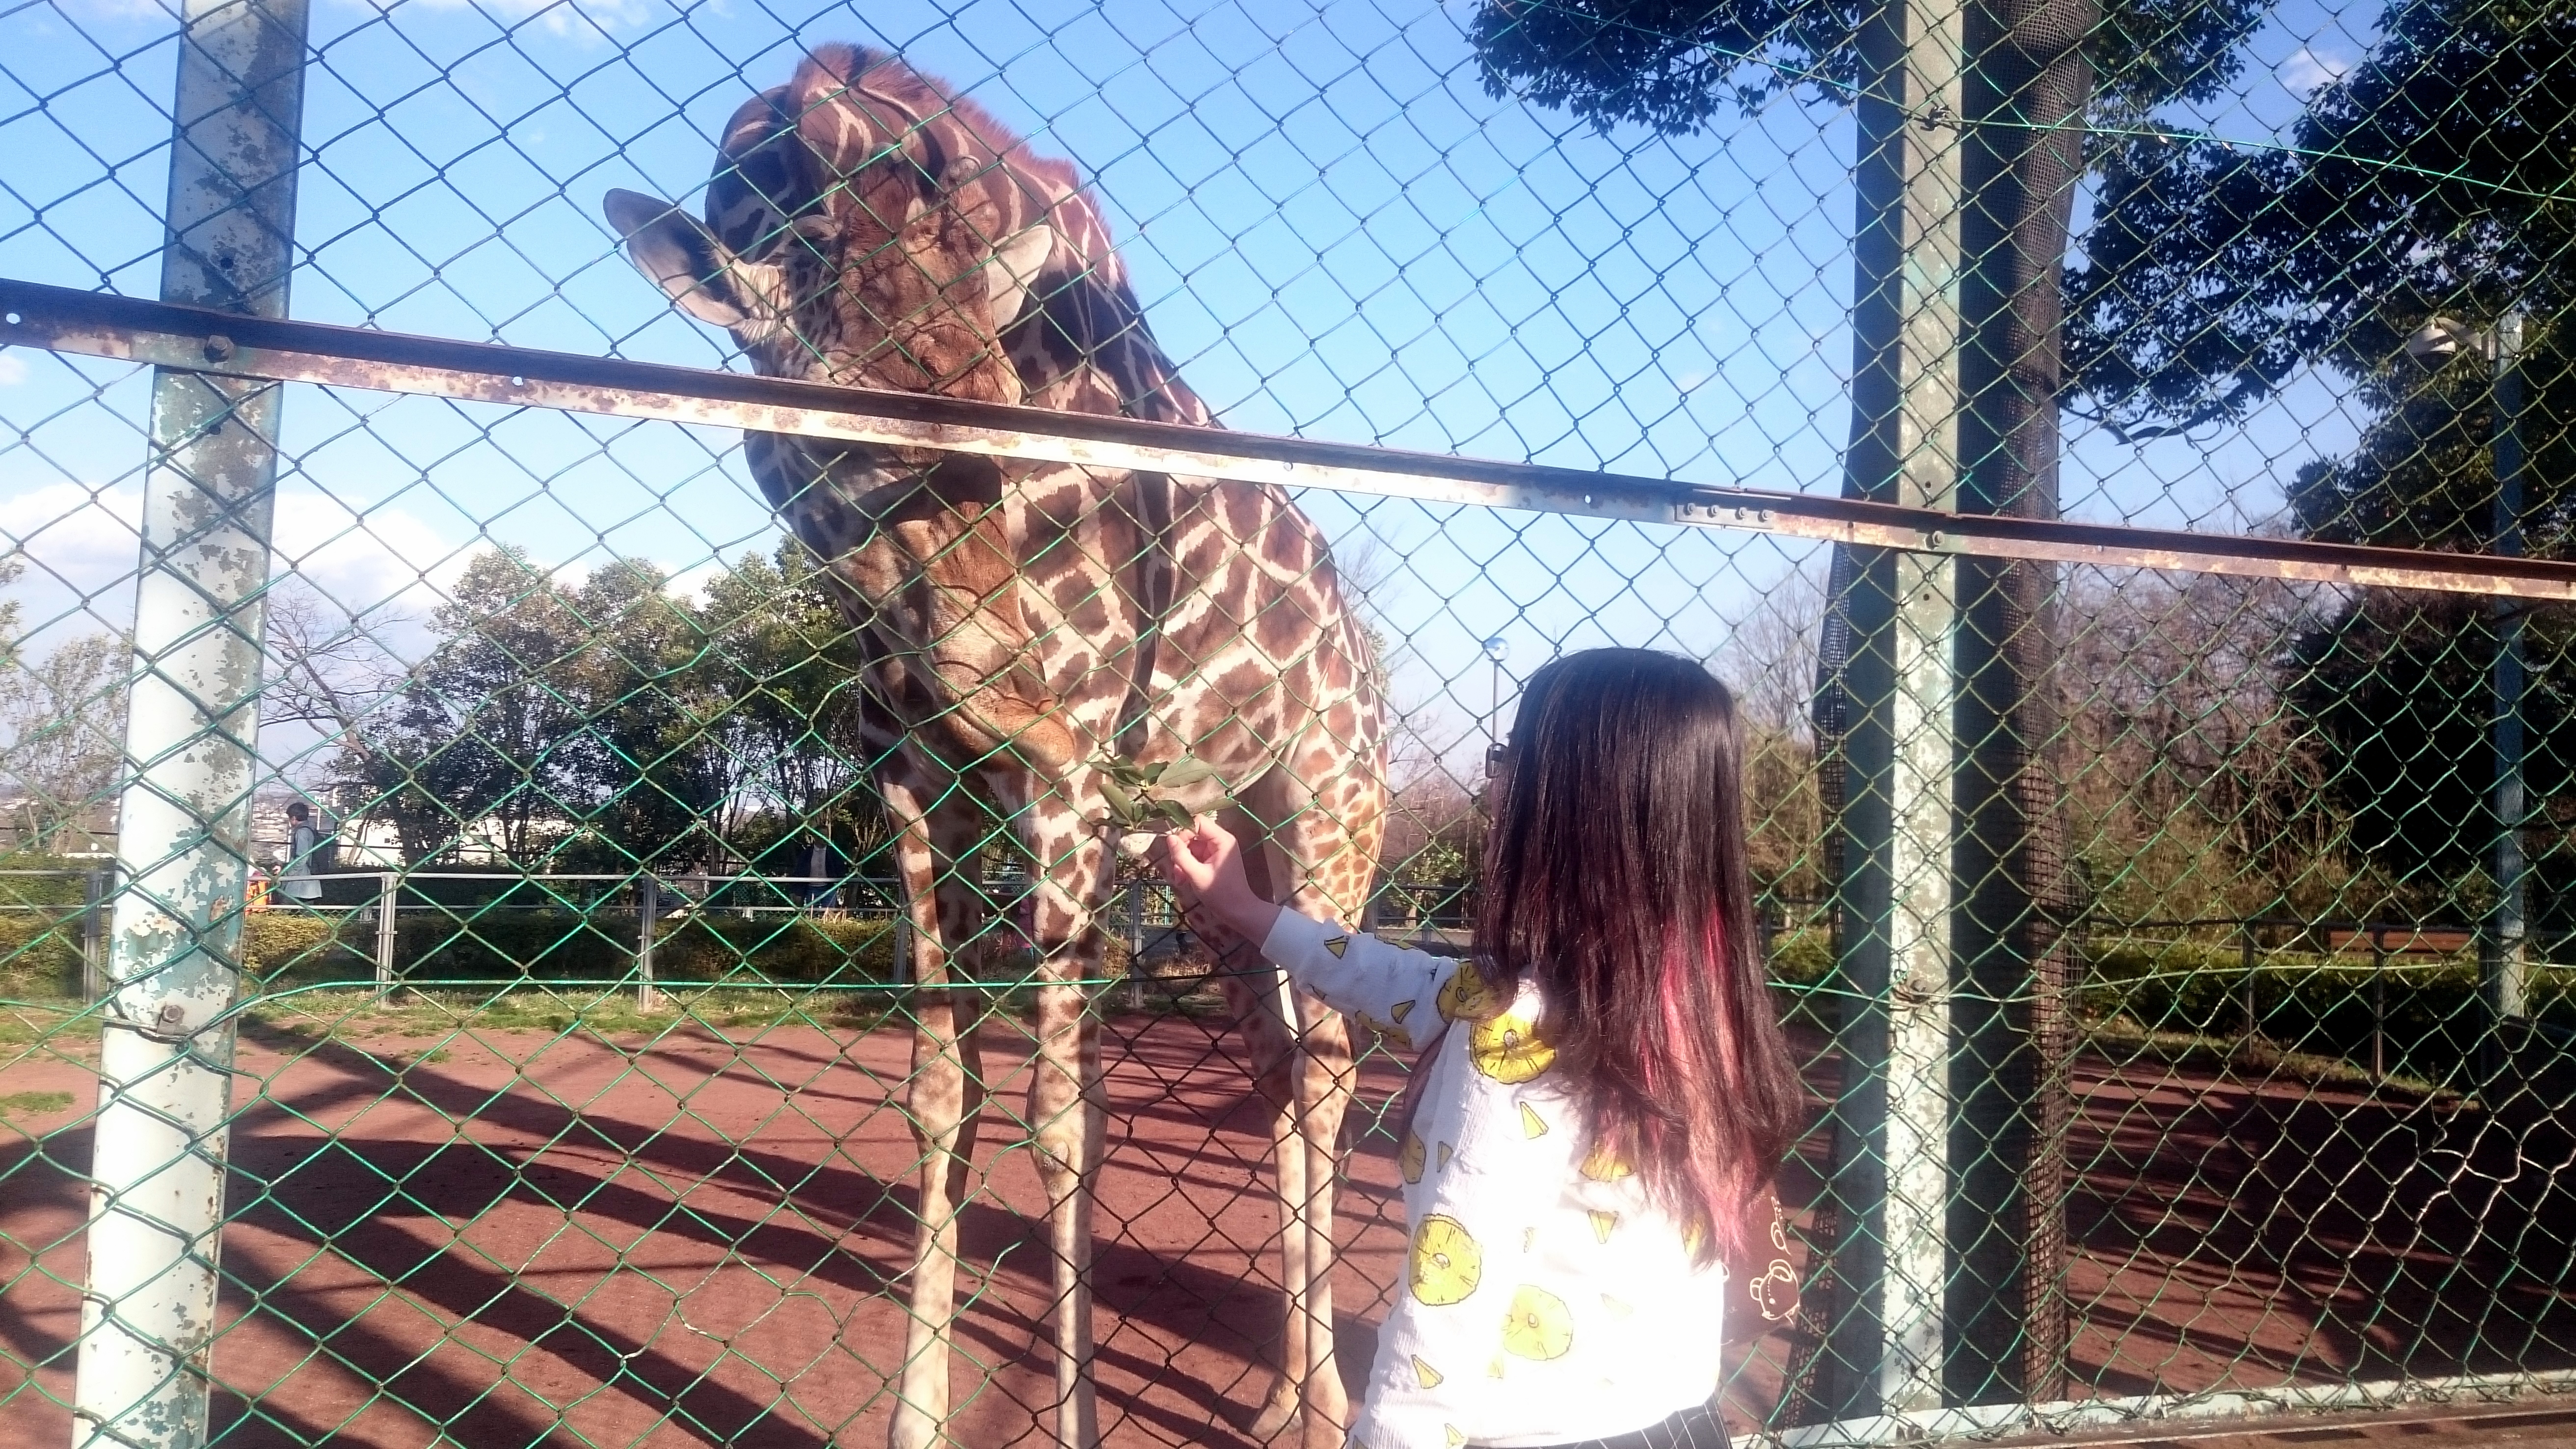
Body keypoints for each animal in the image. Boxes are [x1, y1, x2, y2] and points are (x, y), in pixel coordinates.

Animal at [605, 42, 1391, 1444]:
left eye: (1010, 420)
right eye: (840, 446)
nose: (1007, 692)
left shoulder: (1070, 779)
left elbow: (1063, 1118)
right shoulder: (915, 778)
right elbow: (941, 1092)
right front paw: (914, 1419)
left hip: (1327, 806)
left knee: (1326, 1066)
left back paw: (1326, 1400)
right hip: (1216, 858)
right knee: (1275, 1058)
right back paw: (1278, 1395)